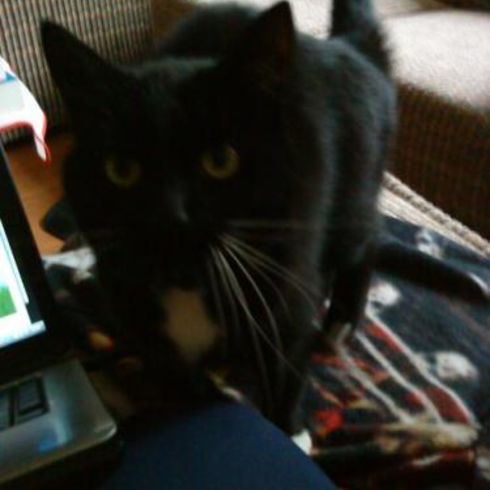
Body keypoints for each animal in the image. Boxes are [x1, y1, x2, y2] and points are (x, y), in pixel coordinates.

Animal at [41, 0, 395, 434]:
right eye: (121, 169)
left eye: (221, 160)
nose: (171, 215)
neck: (188, 278)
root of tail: (350, 46)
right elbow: (178, 380)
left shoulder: (287, 287)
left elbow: (286, 363)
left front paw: (289, 430)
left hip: (351, 190)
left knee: (368, 234)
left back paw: (342, 321)